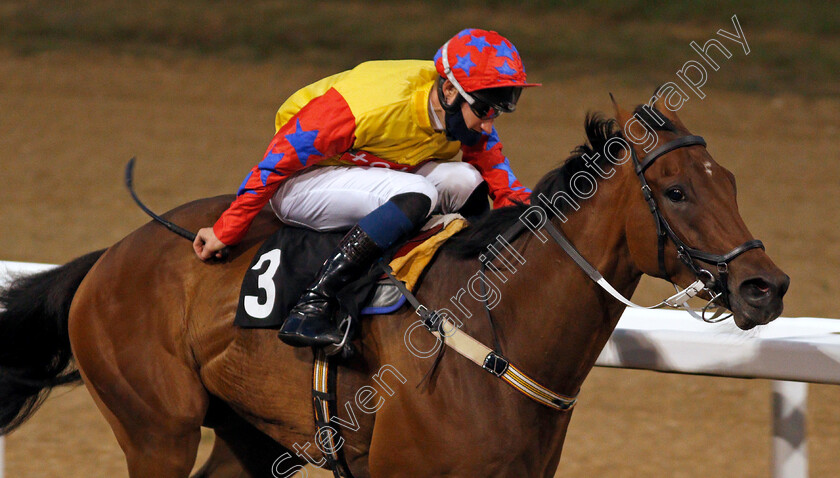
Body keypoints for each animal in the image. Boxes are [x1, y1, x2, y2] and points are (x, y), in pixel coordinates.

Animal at [0, 95, 788, 476]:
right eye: (677, 191)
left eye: (732, 182)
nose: (765, 286)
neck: (498, 339)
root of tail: (110, 256)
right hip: (155, 431)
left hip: (250, 437)